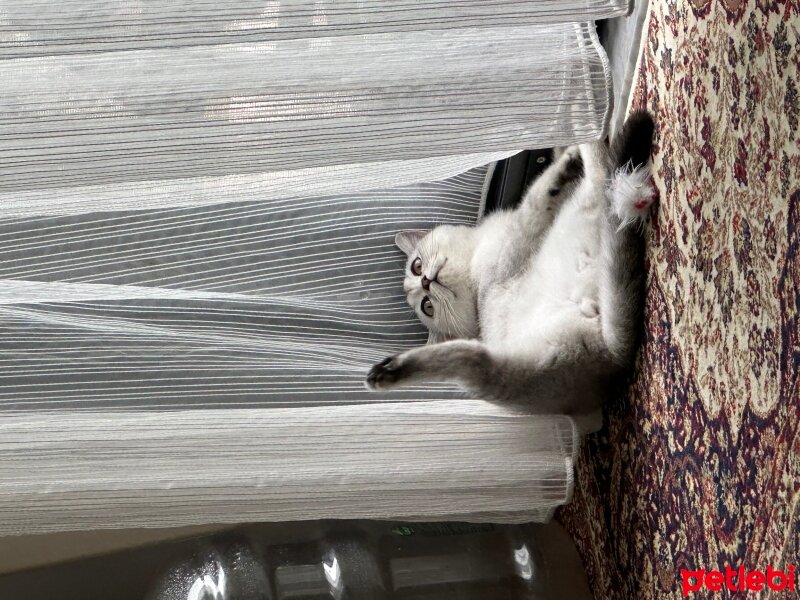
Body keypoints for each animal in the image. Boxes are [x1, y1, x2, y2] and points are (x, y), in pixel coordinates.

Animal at [368, 113, 656, 422]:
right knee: (601, 174)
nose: (425, 283)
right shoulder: (511, 249)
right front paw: (567, 155)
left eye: (416, 266)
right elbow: (536, 198)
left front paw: (559, 147)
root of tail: (614, 357)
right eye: (428, 307)